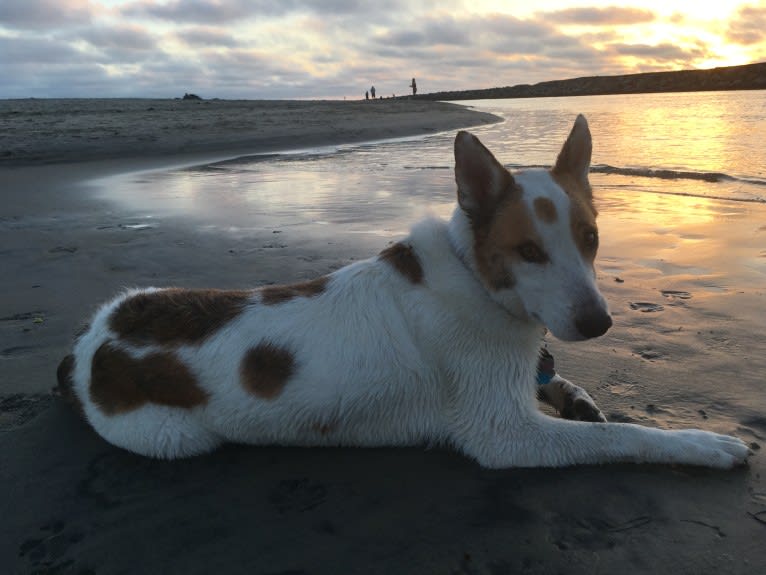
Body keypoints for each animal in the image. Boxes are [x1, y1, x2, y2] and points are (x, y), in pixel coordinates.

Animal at [58, 116, 752, 468]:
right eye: (529, 251)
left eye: (591, 238)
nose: (599, 324)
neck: (476, 279)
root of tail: (89, 343)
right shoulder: (505, 436)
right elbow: (625, 436)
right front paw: (699, 444)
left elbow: (561, 386)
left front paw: (572, 391)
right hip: (171, 437)